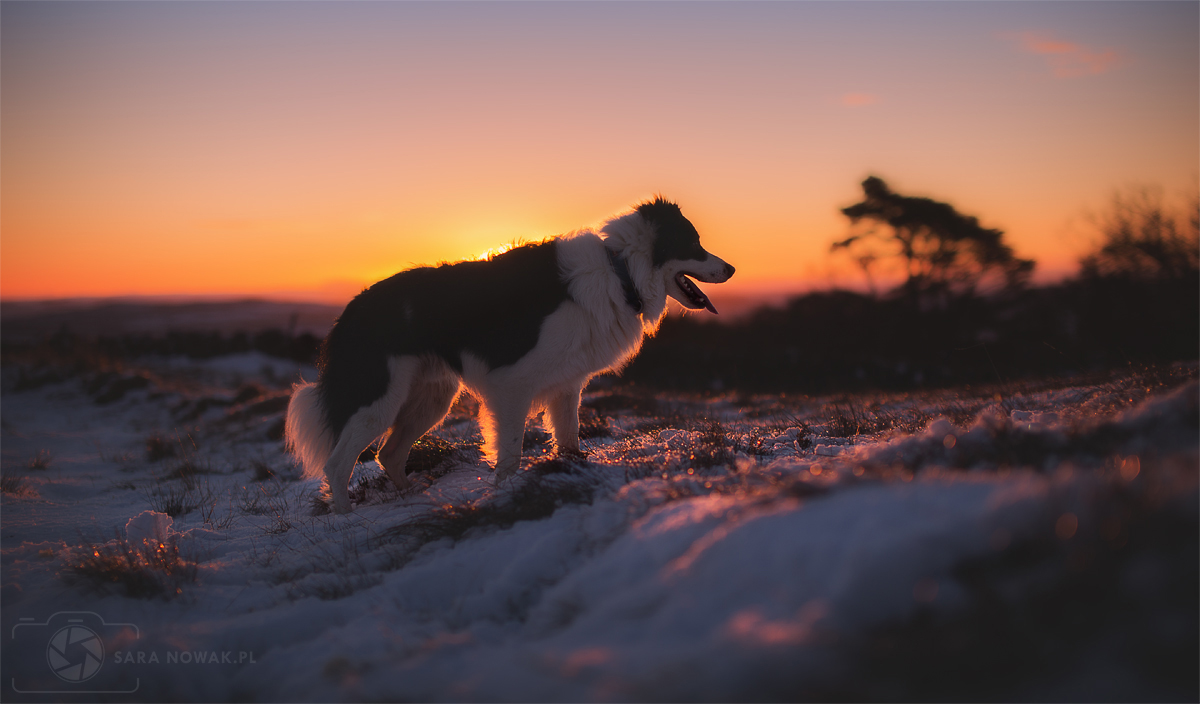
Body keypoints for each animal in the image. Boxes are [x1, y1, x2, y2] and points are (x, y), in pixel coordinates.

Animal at [284, 197, 729, 513]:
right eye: (695, 244)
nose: (732, 269)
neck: (620, 272)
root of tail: (351, 310)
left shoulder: (567, 386)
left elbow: (569, 438)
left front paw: (568, 471)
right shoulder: (511, 385)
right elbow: (511, 453)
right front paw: (505, 494)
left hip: (431, 398)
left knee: (388, 454)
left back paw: (413, 498)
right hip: (378, 399)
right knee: (338, 464)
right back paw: (344, 518)